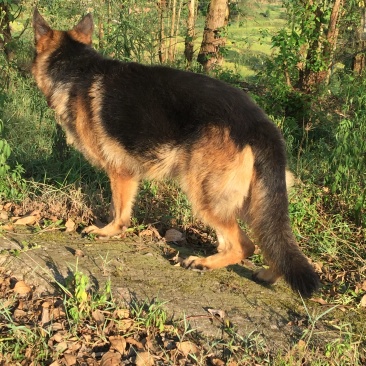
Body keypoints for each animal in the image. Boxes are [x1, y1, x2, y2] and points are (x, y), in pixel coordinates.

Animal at [30, 9, 318, 298]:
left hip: (204, 193)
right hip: (254, 201)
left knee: (244, 245)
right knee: (273, 243)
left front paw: (107, 231)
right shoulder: (129, 174)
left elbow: (118, 210)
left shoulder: (120, 171)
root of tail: (259, 123)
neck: (77, 69)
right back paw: (269, 274)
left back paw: (204, 262)